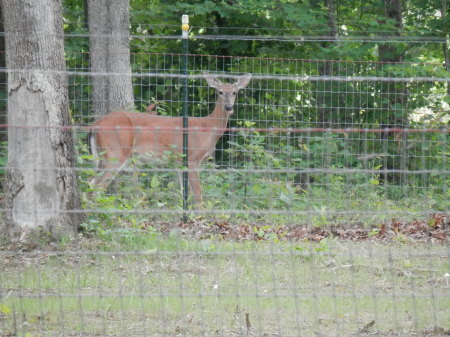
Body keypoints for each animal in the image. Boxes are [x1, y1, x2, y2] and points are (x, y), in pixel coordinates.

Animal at [88, 72, 250, 203]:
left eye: (235, 92)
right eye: (220, 92)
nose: (229, 107)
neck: (208, 128)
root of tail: (95, 125)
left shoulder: (179, 163)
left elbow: (184, 193)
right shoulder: (192, 159)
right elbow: (198, 193)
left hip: (102, 156)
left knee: (91, 182)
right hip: (115, 153)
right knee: (98, 186)